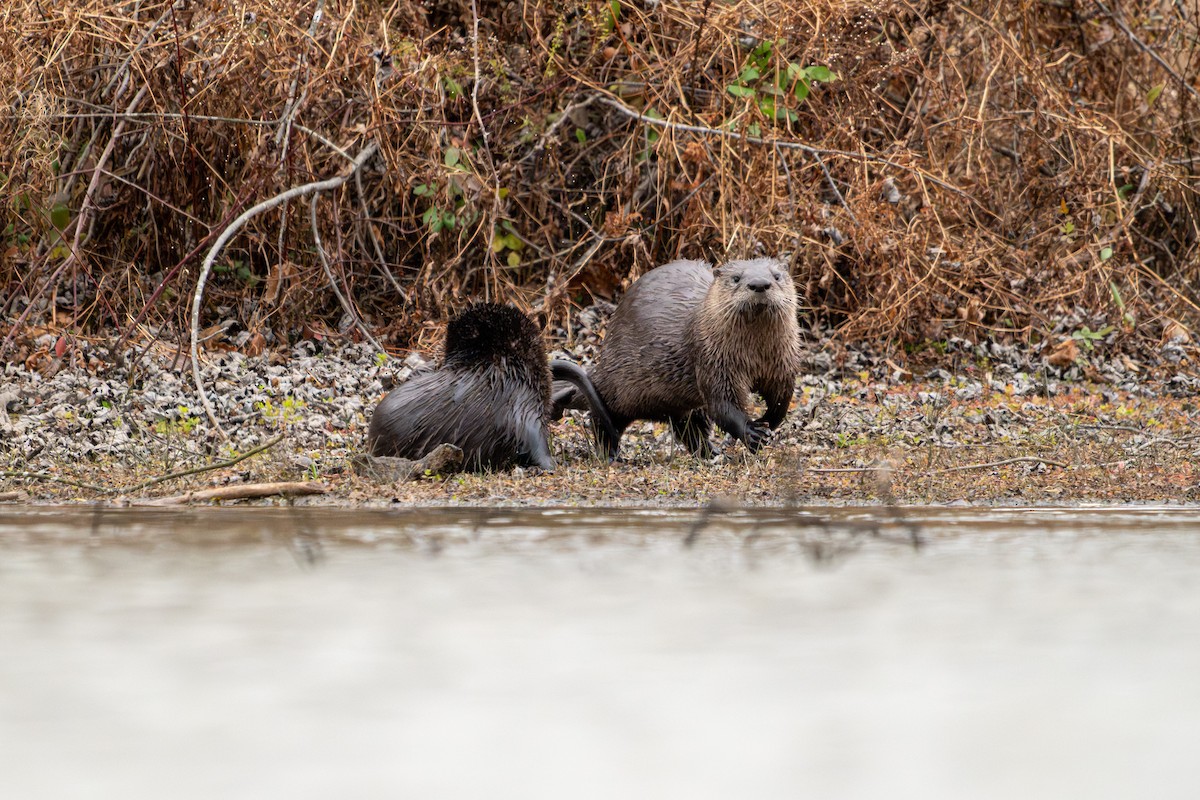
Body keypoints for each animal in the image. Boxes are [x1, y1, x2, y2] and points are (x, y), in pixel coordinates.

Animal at [553, 257, 801, 459]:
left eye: (776, 276)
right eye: (736, 278)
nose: (759, 284)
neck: (755, 356)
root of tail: (602, 362)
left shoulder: (784, 363)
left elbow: (782, 398)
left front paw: (767, 423)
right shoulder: (713, 362)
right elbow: (723, 405)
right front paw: (751, 432)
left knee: (689, 427)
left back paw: (712, 454)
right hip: (621, 386)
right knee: (603, 418)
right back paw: (611, 454)